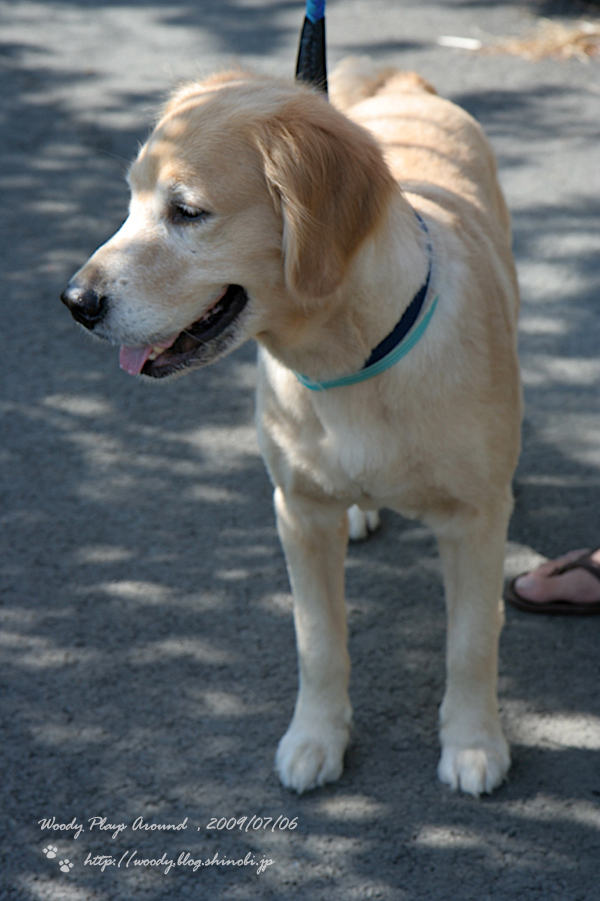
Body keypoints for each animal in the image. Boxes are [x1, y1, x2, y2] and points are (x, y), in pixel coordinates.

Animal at [61, 58, 522, 796]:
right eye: (130, 200)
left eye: (186, 211)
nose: (75, 302)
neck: (351, 363)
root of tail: (397, 78)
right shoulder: (299, 512)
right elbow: (319, 642)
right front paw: (316, 736)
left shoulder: (474, 521)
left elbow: (473, 641)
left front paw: (474, 741)